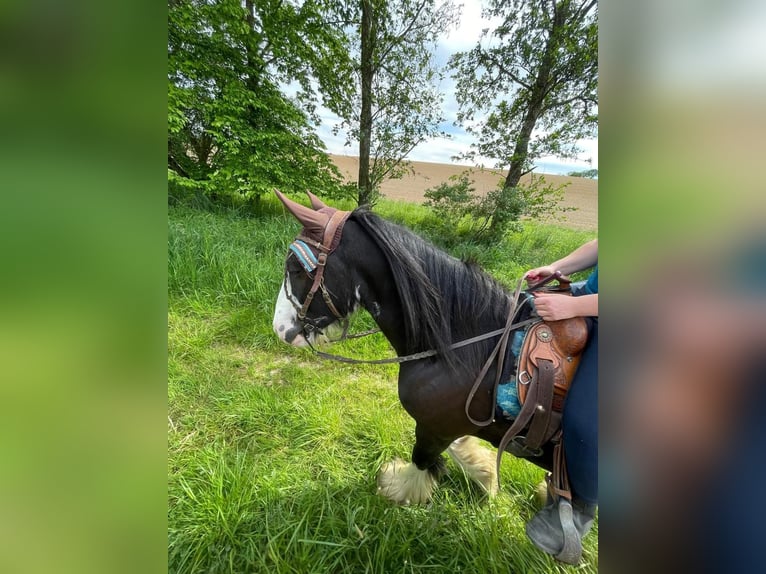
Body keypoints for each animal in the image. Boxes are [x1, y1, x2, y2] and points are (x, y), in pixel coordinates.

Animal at [272, 191, 556, 506]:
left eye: (296, 269)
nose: (280, 328)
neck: (468, 350)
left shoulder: (435, 426)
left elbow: (422, 459)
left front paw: (398, 489)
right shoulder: (448, 424)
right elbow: (457, 448)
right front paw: (486, 477)